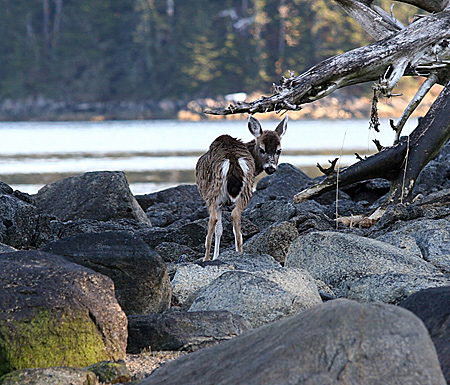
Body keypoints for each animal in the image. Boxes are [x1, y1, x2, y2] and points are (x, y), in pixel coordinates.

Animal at [194, 115, 286, 260]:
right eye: (262, 149)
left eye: (278, 150)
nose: (271, 168)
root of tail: (232, 159)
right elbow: (221, 229)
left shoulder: (219, 202)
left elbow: (219, 229)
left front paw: (215, 257)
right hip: (246, 189)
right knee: (235, 217)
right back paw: (239, 253)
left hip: (213, 192)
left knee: (216, 219)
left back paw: (206, 259)